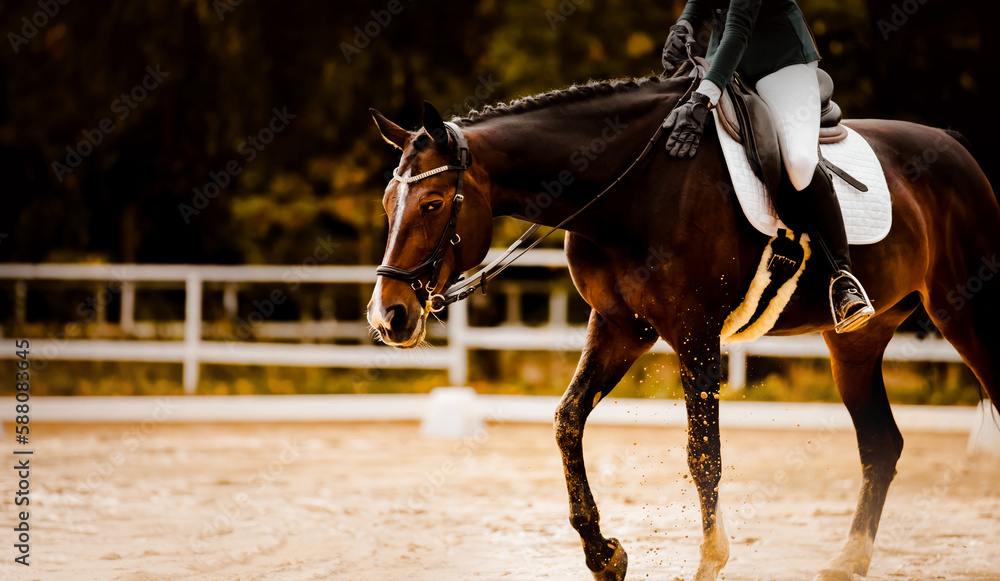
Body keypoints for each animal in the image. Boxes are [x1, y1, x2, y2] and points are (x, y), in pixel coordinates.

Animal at [365, 74, 999, 581]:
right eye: (388, 204)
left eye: (433, 203)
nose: (387, 316)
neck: (628, 190)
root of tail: (956, 148)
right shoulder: (620, 327)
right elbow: (567, 421)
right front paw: (604, 554)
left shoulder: (696, 334)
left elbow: (703, 454)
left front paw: (709, 561)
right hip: (855, 342)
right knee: (881, 444)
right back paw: (847, 562)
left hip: (967, 313)